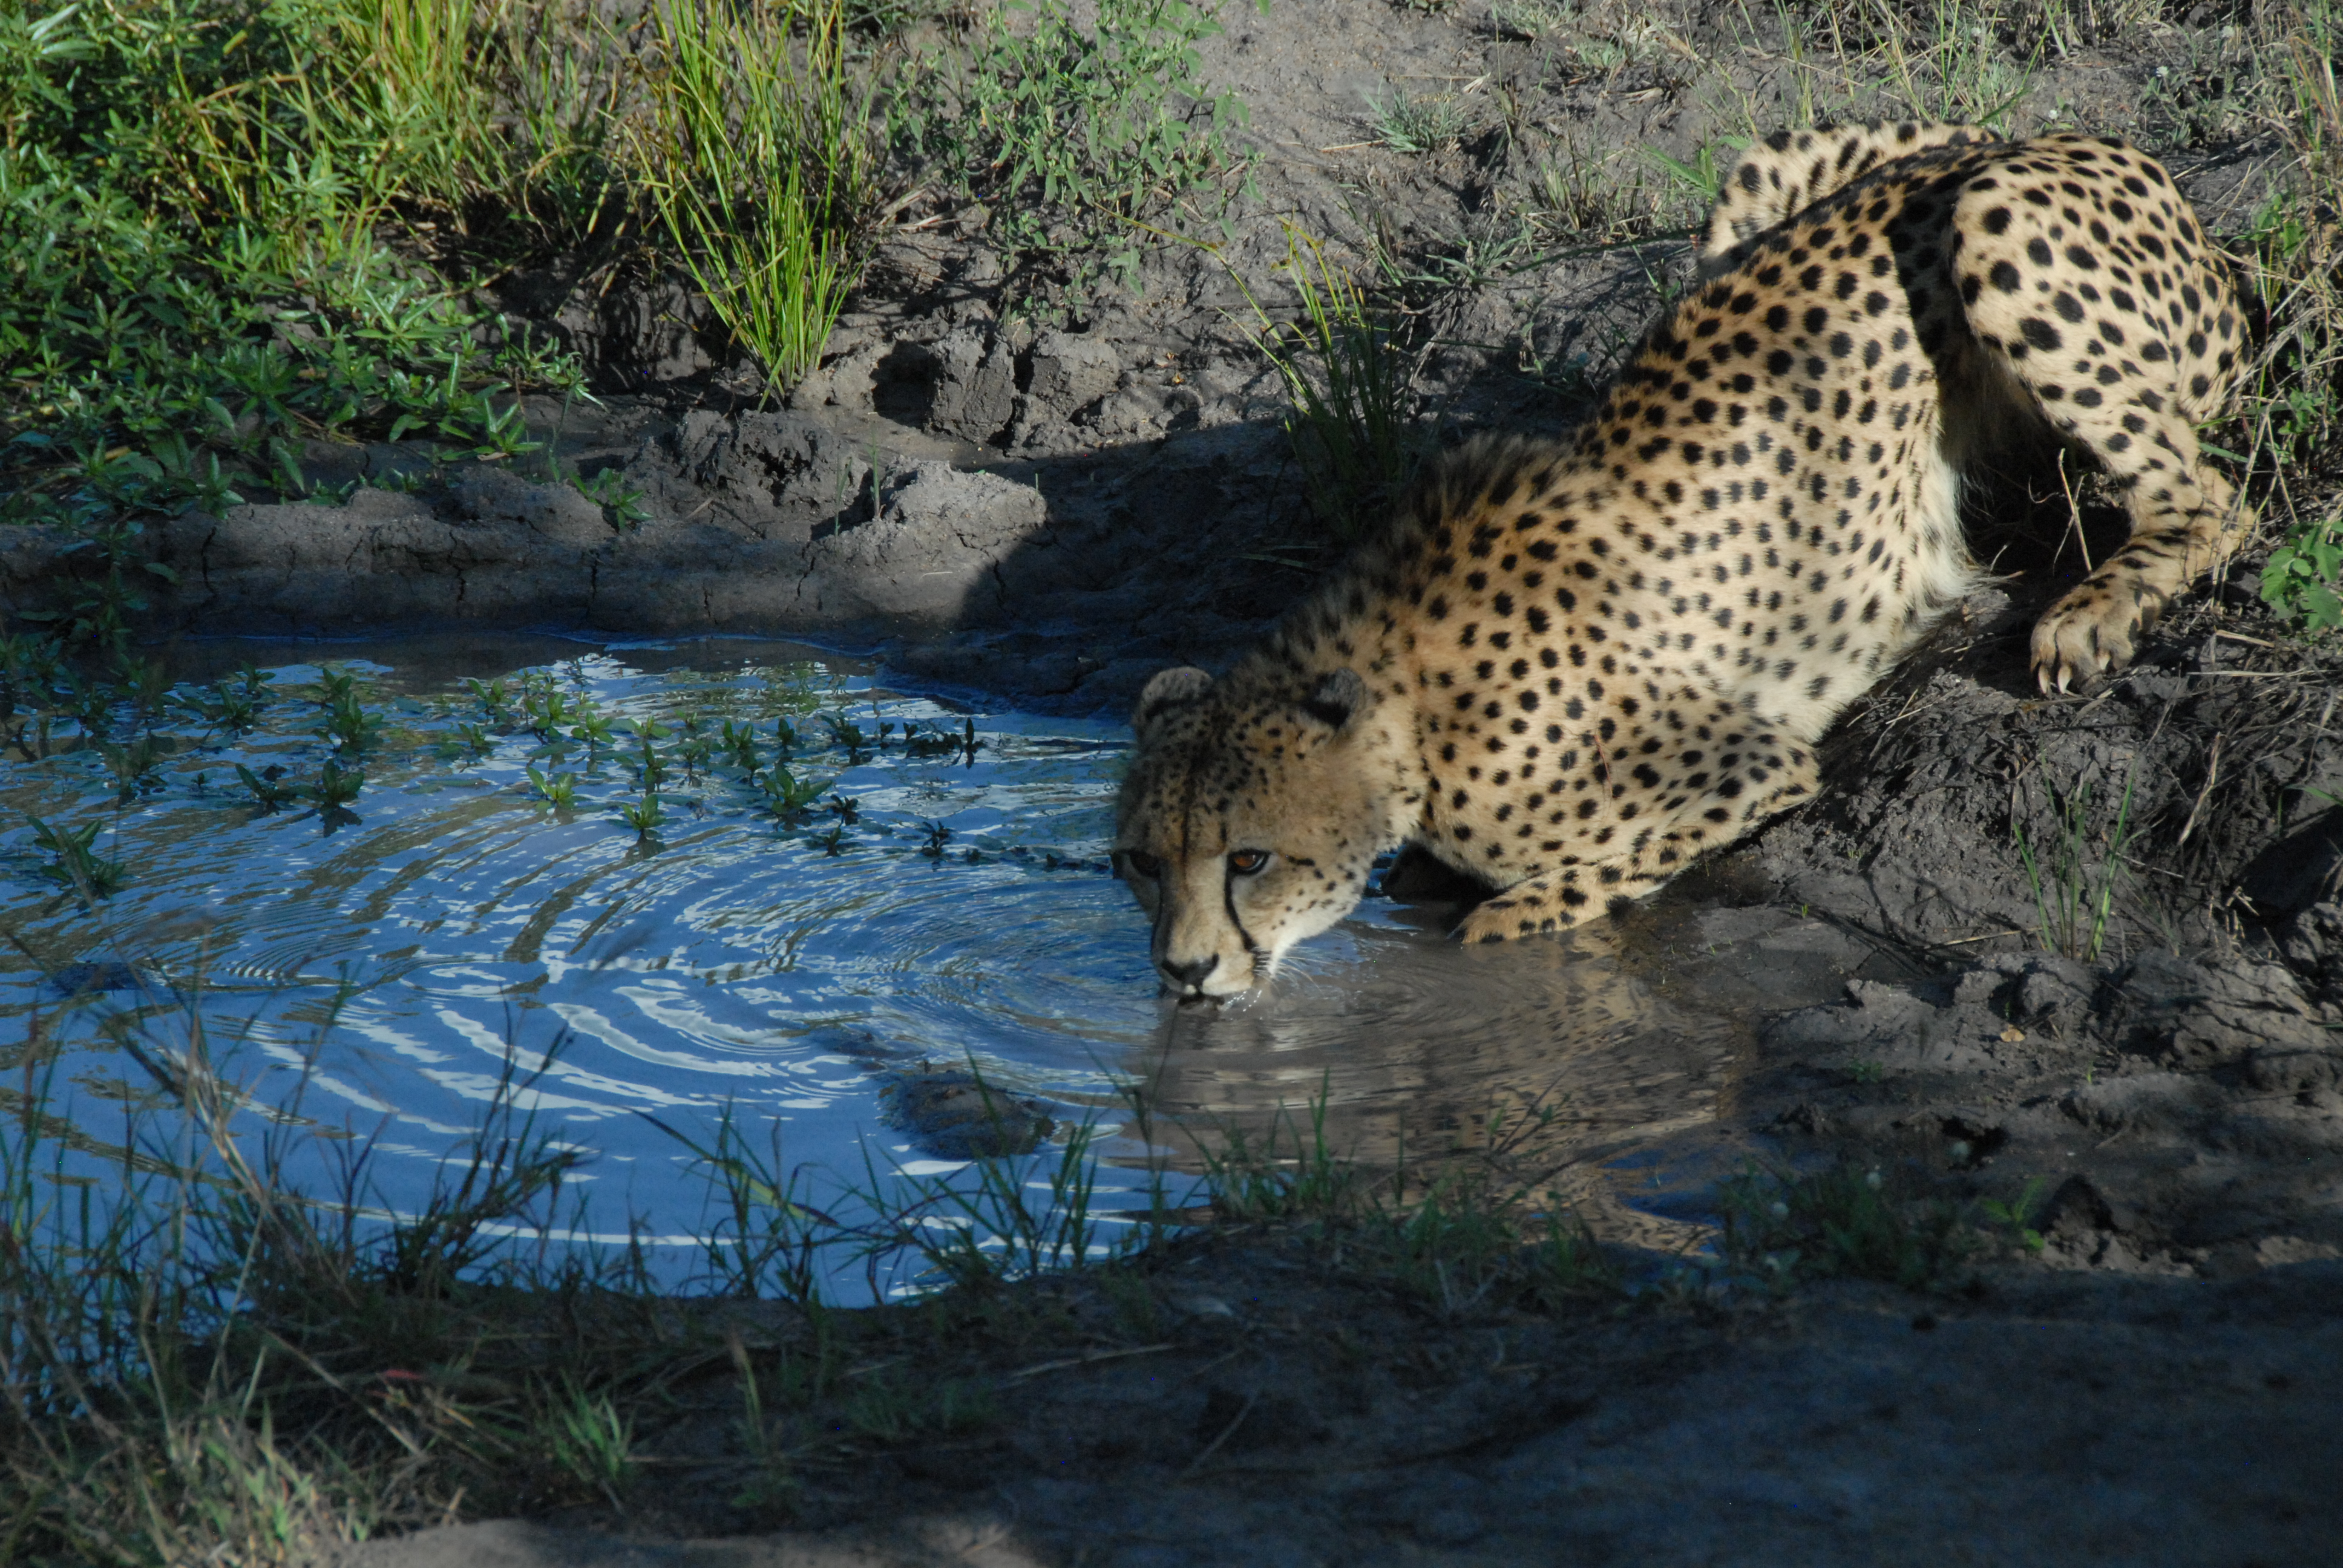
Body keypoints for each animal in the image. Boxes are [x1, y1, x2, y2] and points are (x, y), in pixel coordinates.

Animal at [1114, 121, 2253, 1000]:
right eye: (1137, 862)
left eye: (1249, 858)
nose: (1179, 973)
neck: (1406, 711)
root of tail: (2025, 135)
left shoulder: (1753, 762)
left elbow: (1552, 891)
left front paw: (1492, 905)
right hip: (1754, 193)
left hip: (1996, 225)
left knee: (2208, 498)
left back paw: (2087, 613)